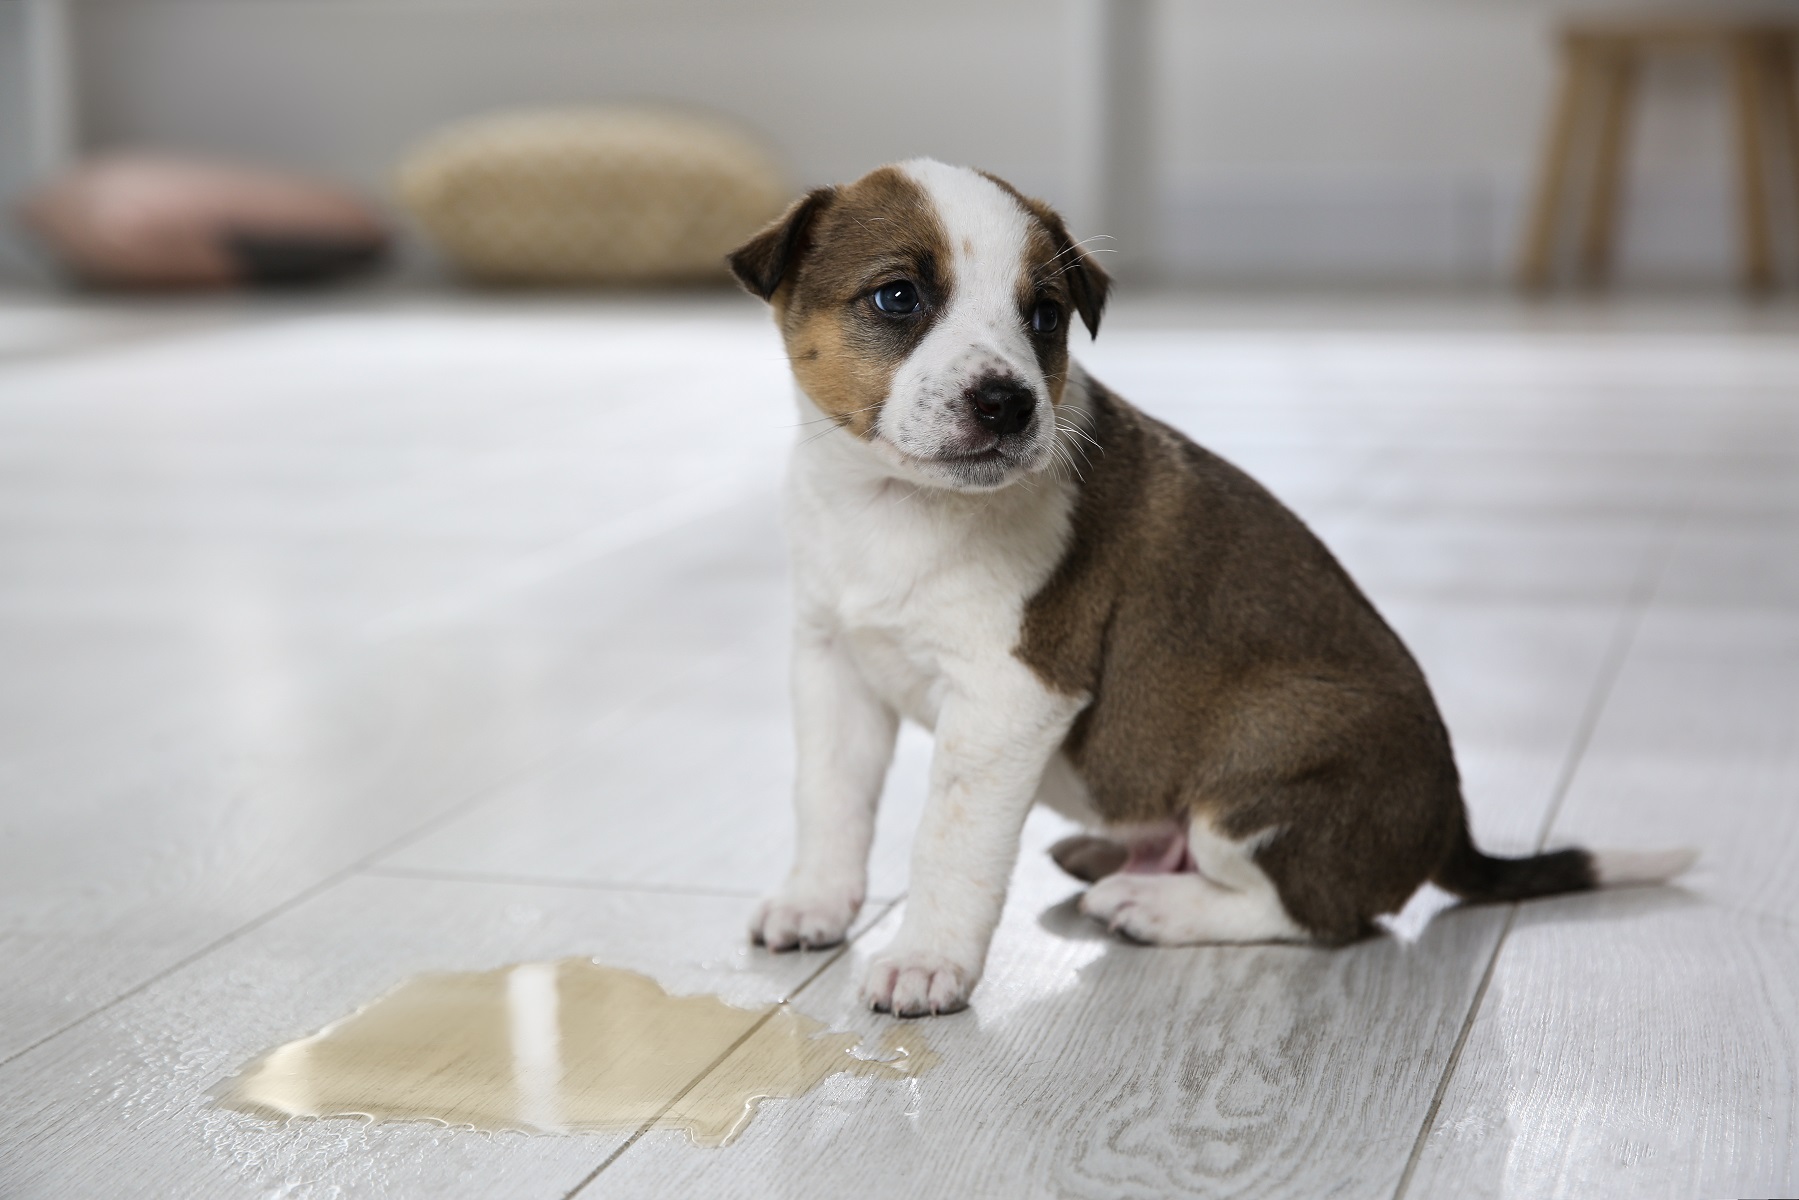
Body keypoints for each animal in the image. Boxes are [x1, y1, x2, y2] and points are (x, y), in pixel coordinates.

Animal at [723, 159, 1691, 1021]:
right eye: (897, 298)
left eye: (1044, 315)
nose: (1008, 402)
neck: (890, 505)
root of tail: (1451, 826)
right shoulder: (833, 664)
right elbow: (829, 800)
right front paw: (815, 901)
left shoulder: (1008, 698)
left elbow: (949, 843)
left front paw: (927, 960)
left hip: (1264, 758)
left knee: (1319, 914)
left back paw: (1154, 906)